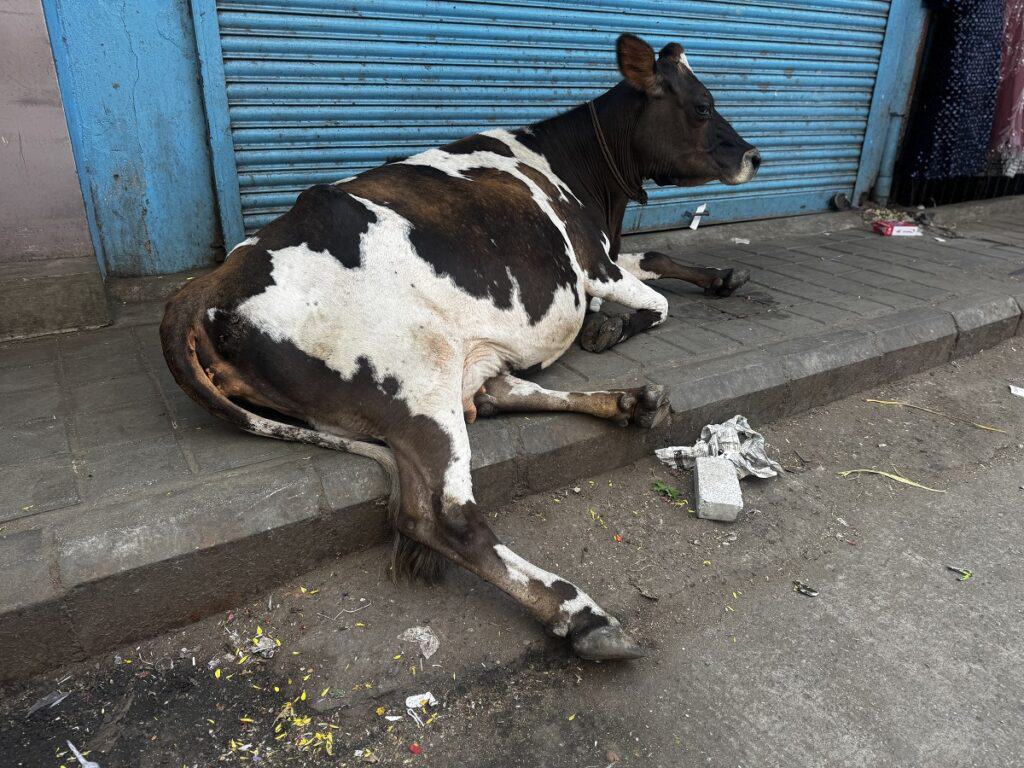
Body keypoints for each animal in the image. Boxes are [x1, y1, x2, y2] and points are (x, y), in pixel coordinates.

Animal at [161, 34, 759, 661]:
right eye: (702, 105)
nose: (754, 155)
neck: (575, 169)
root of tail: (206, 285)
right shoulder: (593, 262)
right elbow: (657, 304)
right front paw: (612, 328)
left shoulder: (609, 258)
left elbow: (660, 258)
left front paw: (722, 276)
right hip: (420, 372)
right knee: (444, 515)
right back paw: (580, 613)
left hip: (445, 368)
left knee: (498, 394)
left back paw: (632, 402)